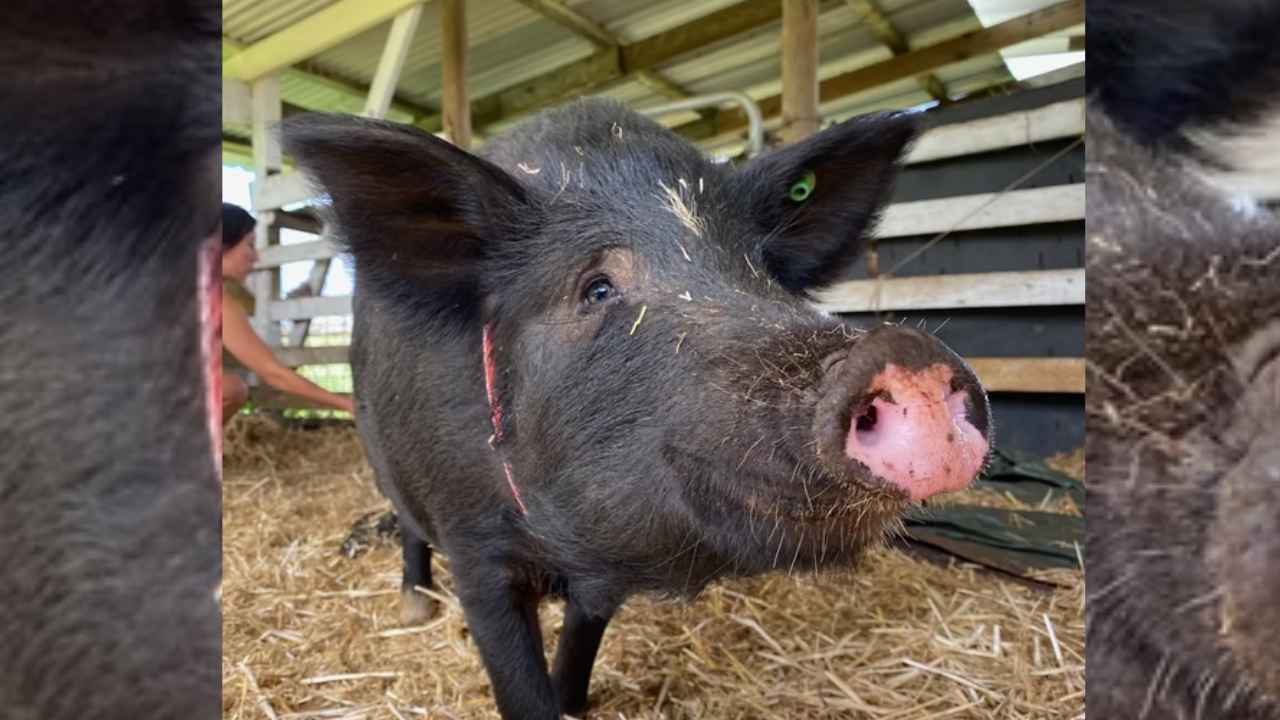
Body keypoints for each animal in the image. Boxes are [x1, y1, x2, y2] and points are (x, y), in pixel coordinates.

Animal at [283, 98, 991, 719]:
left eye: (762, 271)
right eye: (596, 288)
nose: (901, 348)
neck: (565, 552)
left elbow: (581, 643)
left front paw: (574, 702)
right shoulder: (475, 549)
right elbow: (516, 683)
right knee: (406, 526)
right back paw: (415, 608)